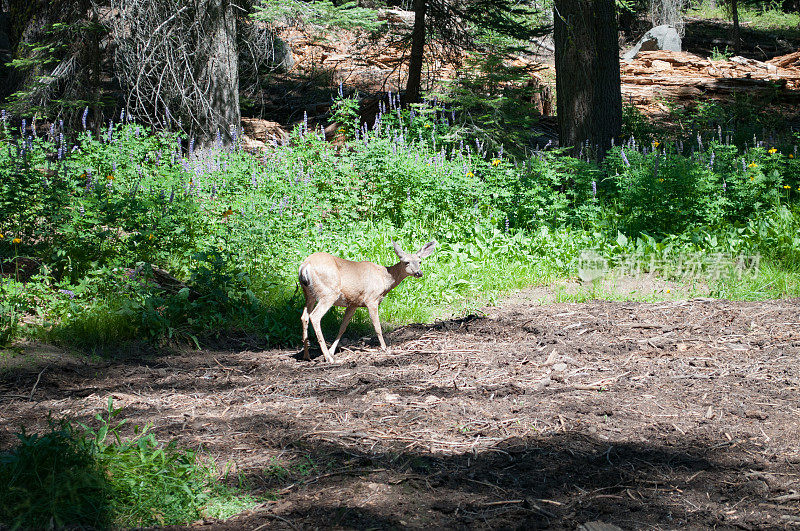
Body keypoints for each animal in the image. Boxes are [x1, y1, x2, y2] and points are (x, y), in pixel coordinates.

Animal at [300, 240, 438, 362]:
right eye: (406, 262)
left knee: (304, 316)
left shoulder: (353, 303)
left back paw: (307, 355)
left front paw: (332, 351)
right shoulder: (371, 299)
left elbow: (343, 327)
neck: (384, 280)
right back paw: (328, 358)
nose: (419, 273)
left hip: (309, 294)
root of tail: (305, 266)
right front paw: (385, 348)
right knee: (315, 316)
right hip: (328, 292)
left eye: (419, 261)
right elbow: (377, 327)